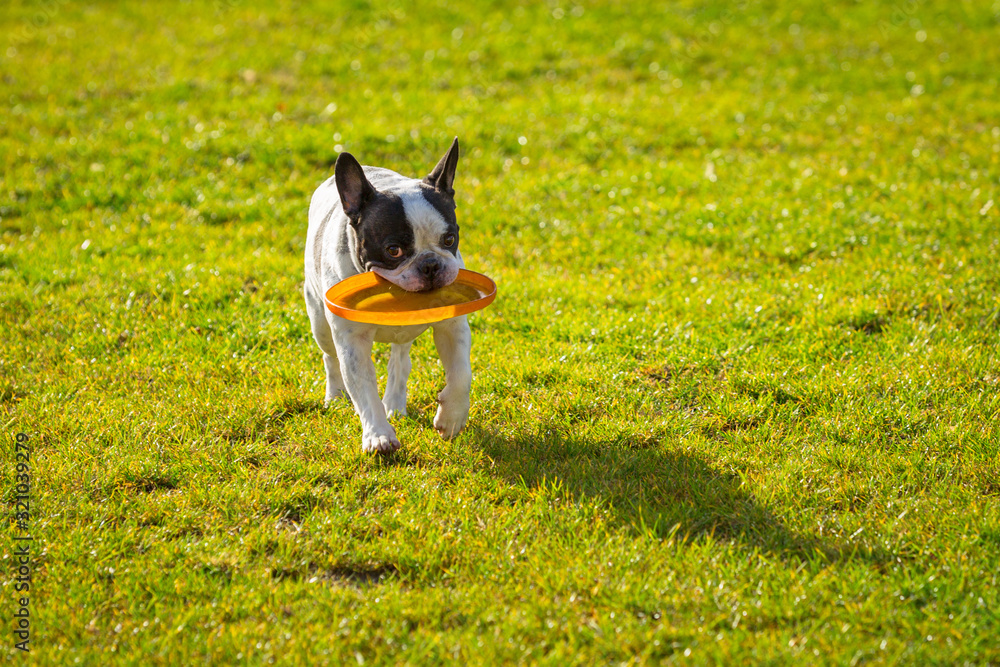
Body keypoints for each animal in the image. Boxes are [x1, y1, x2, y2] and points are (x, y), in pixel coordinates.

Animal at [300, 140, 472, 454]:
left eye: (450, 239)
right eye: (393, 250)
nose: (430, 264)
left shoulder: (452, 327)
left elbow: (461, 374)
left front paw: (451, 417)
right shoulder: (352, 343)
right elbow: (364, 389)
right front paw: (378, 435)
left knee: (400, 358)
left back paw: (394, 401)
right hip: (319, 322)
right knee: (330, 358)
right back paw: (335, 396)